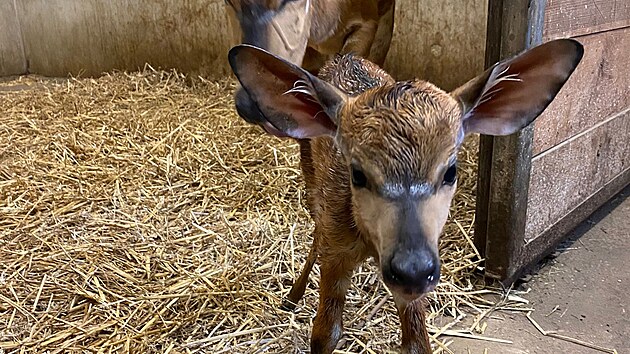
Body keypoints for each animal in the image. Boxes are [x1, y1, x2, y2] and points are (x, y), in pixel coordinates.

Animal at [230, 39, 584, 354]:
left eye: (450, 171)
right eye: (357, 172)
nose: (412, 268)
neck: (369, 241)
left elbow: (416, 343)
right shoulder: (337, 251)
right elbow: (324, 335)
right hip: (311, 177)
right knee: (316, 231)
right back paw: (291, 297)